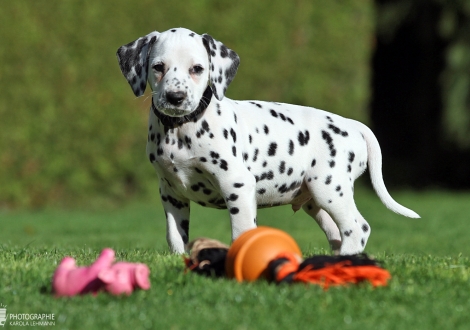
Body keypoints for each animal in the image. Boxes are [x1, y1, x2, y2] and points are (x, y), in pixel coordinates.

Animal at [116, 27, 418, 255]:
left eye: (197, 69)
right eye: (158, 67)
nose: (175, 97)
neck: (181, 129)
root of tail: (353, 125)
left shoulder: (236, 184)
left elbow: (241, 231)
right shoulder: (171, 192)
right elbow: (175, 236)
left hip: (330, 188)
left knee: (357, 228)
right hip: (316, 200)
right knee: (338, 233)